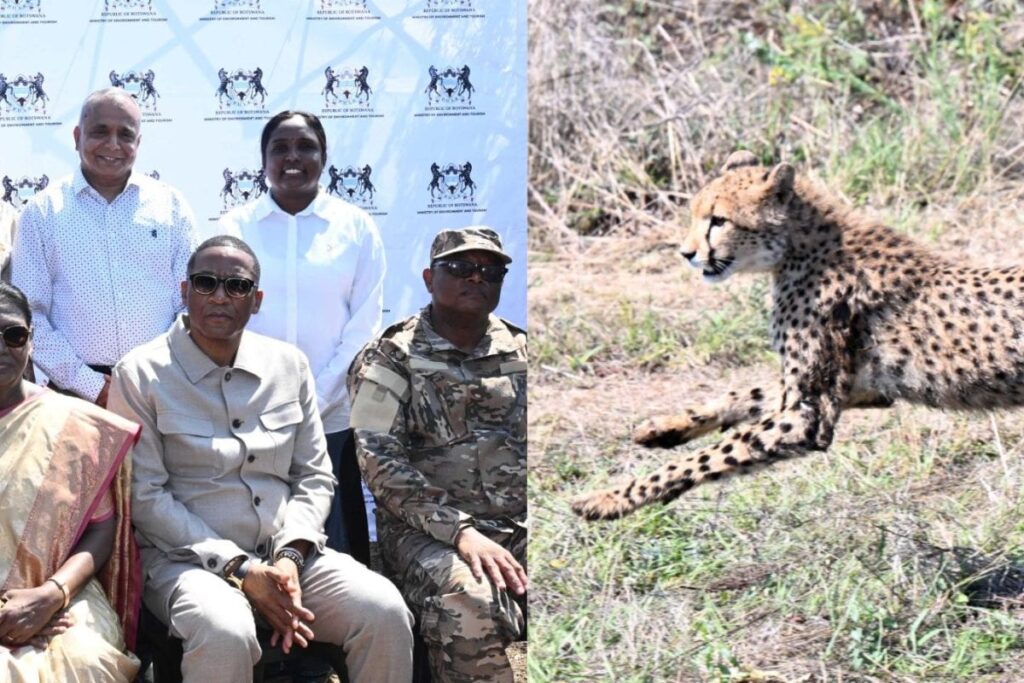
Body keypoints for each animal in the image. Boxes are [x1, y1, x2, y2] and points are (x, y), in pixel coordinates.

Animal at [572, 150, 1024, 521]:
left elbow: (712, 454)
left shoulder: (808, 415)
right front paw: (666, 426)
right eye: (696, 216)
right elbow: (746, 395)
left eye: (719, 220)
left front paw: (612, 497)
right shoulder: (864, 388)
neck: (797, 249)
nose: (687, 254)